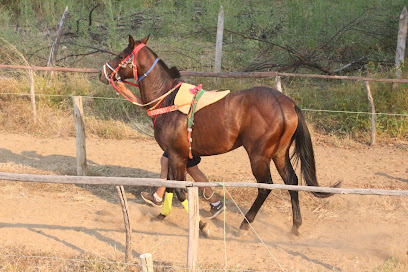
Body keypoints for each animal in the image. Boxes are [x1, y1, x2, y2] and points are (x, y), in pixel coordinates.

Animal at [98, 35, 338, 236]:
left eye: (121, 55)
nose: (102, 72)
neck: (168, 99)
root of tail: (288, 103)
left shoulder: (176, 155)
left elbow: (181, 192)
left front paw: (201, 225)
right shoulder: (179, 156)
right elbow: (172, 186)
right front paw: (162, 214)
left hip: (259, 156)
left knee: (265, 187)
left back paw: (244, 225)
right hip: (279, 153)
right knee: (292, 181)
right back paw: (295, 226)